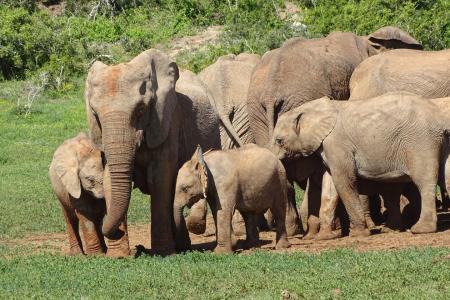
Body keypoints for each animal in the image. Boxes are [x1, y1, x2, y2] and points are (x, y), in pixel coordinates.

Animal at [85, 49, 221, 255]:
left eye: (141, 110)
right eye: (95, 113)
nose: (137, 248)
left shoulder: (168, 122)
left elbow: (160, 179)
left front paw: (162, 252)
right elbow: (109, 180)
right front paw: (117, 255)